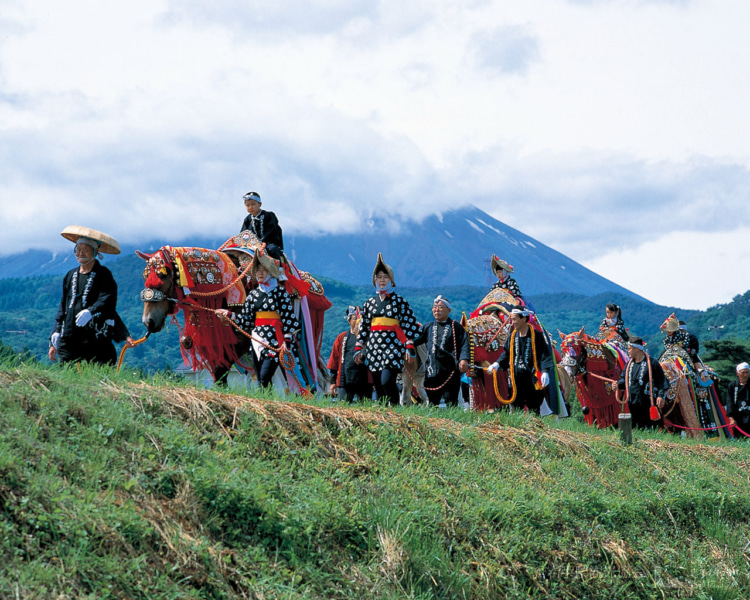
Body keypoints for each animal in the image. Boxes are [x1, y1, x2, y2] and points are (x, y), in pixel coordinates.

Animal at [138, 230, 332, 394]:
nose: (149, 321)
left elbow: (222, 370)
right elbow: (220, 373)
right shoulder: (214, 342)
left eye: (163, 275)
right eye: (145, 276)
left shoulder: (241, 341)